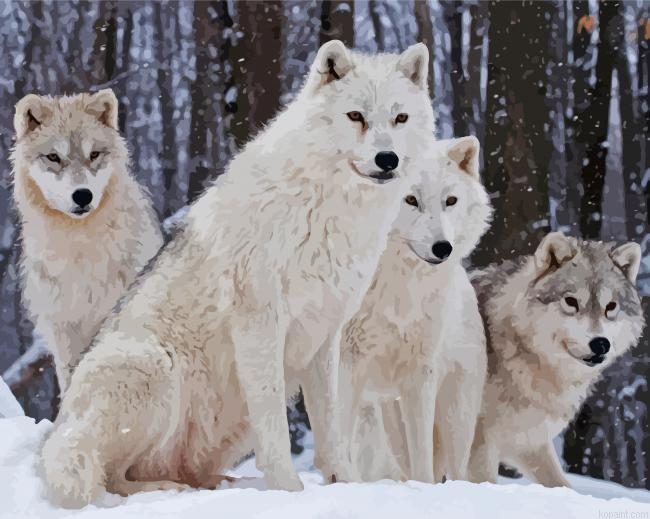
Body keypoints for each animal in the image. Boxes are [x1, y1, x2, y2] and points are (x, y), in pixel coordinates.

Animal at [41, 40, 435, 507]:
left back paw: (218, 483)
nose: (387, 159)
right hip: (152, 364)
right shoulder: (260, 322)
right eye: (356, 116)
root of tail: (60, 426)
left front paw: (347, 485)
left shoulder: (326, 334)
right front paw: (289, 492)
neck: (326, 209)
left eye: (400, 118)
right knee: (111, 476)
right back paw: (166, 489)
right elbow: (276, 426)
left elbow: (332, 428)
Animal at [340, 136, 492, 483]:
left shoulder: (421, 375)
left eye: (450, 201)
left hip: (454, 417)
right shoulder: (345, 365)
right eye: (410, 199)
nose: (443, 248)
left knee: (453, 470)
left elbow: (422, 460)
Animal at [468, 232, 645, 487]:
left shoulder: (530, 442)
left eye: (610, 307)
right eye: (571, 302)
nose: (600, 343)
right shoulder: (479, 443)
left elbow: (563, 485)